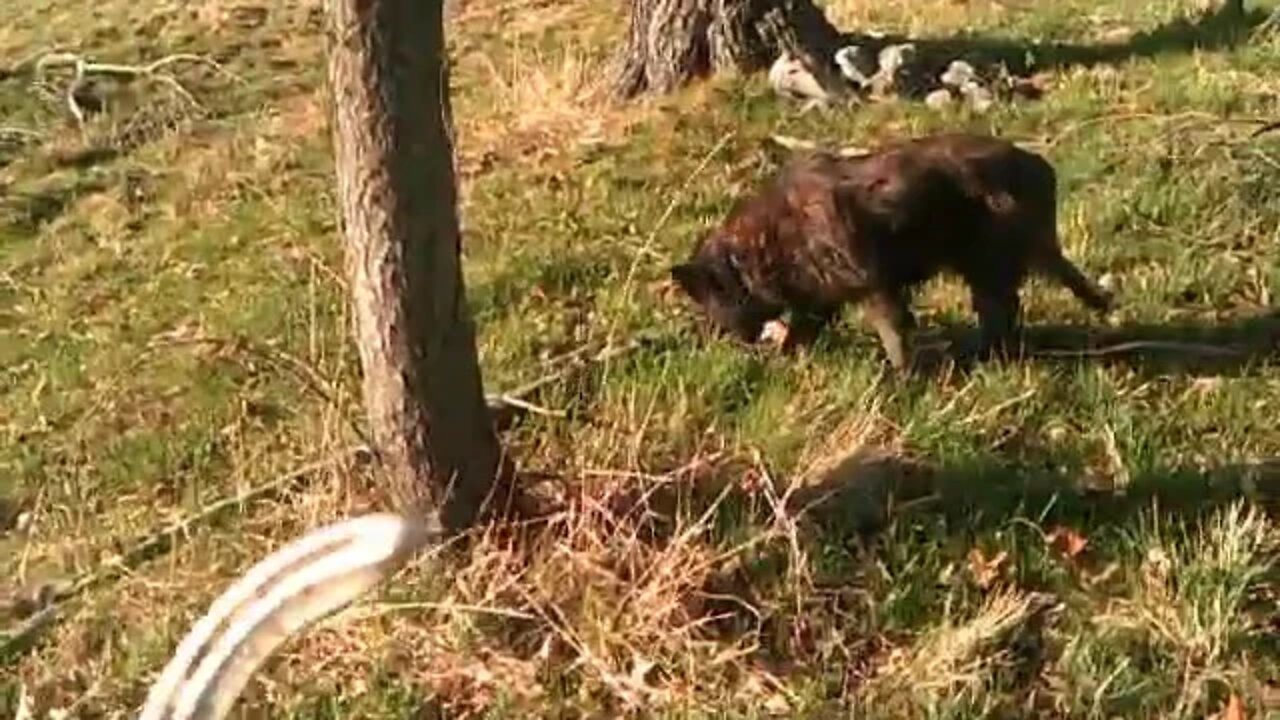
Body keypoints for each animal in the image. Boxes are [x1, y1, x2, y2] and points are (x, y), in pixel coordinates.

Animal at [670, 132, 1111, 368]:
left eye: (708, 298)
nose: (728, 341)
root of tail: (1039, 167)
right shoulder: (822, 298)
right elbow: (802, 331)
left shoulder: (874, 282)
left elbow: (893, 331)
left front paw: (901, 376)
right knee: (1003, 308)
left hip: (988, 261)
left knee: (1002, 308)